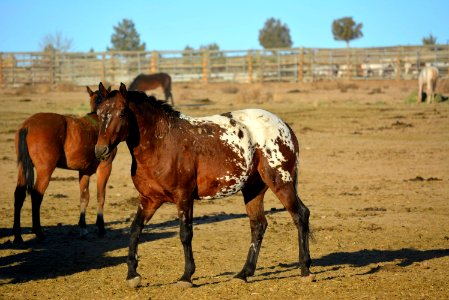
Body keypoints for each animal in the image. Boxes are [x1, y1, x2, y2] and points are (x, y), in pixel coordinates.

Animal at [13, 85, 116, 244]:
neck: (99, 122)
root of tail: (27, 125)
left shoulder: (84, 171)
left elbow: (84, 197)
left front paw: (83, 228)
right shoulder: (105, 167)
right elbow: (101, 196)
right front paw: (101, 228)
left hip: (22, 168)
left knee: (19, 195)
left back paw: (18, 236)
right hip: (45, 170)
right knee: (36, 196)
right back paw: (39, 232)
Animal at [93, 82, 312, 288]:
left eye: (122, 113)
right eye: (99, 113)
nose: (100, 150)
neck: (162, 142)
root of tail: (284, 126)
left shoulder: (183, 197)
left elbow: (185, 234)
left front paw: (186, 276)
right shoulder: (149, 200)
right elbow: (135, 230)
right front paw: (132, 275)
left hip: (280, 181)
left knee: (300, 215)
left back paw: (305, 269)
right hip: (253, 189)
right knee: (258, 225)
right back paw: (244, 273)